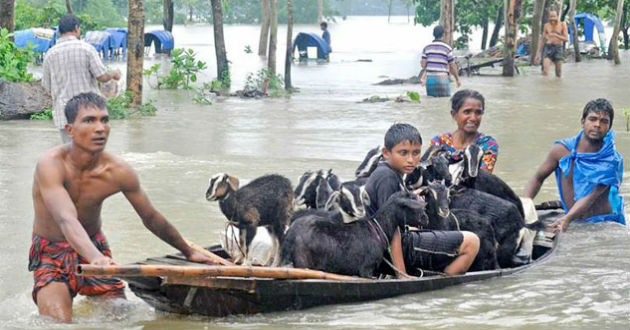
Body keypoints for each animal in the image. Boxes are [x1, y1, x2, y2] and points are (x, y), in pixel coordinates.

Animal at [282, 191, 428, 278]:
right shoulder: (366, 269)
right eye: (414, 204)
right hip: (302, 262)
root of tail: (290, 233)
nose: (426, 218)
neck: (379, 229)